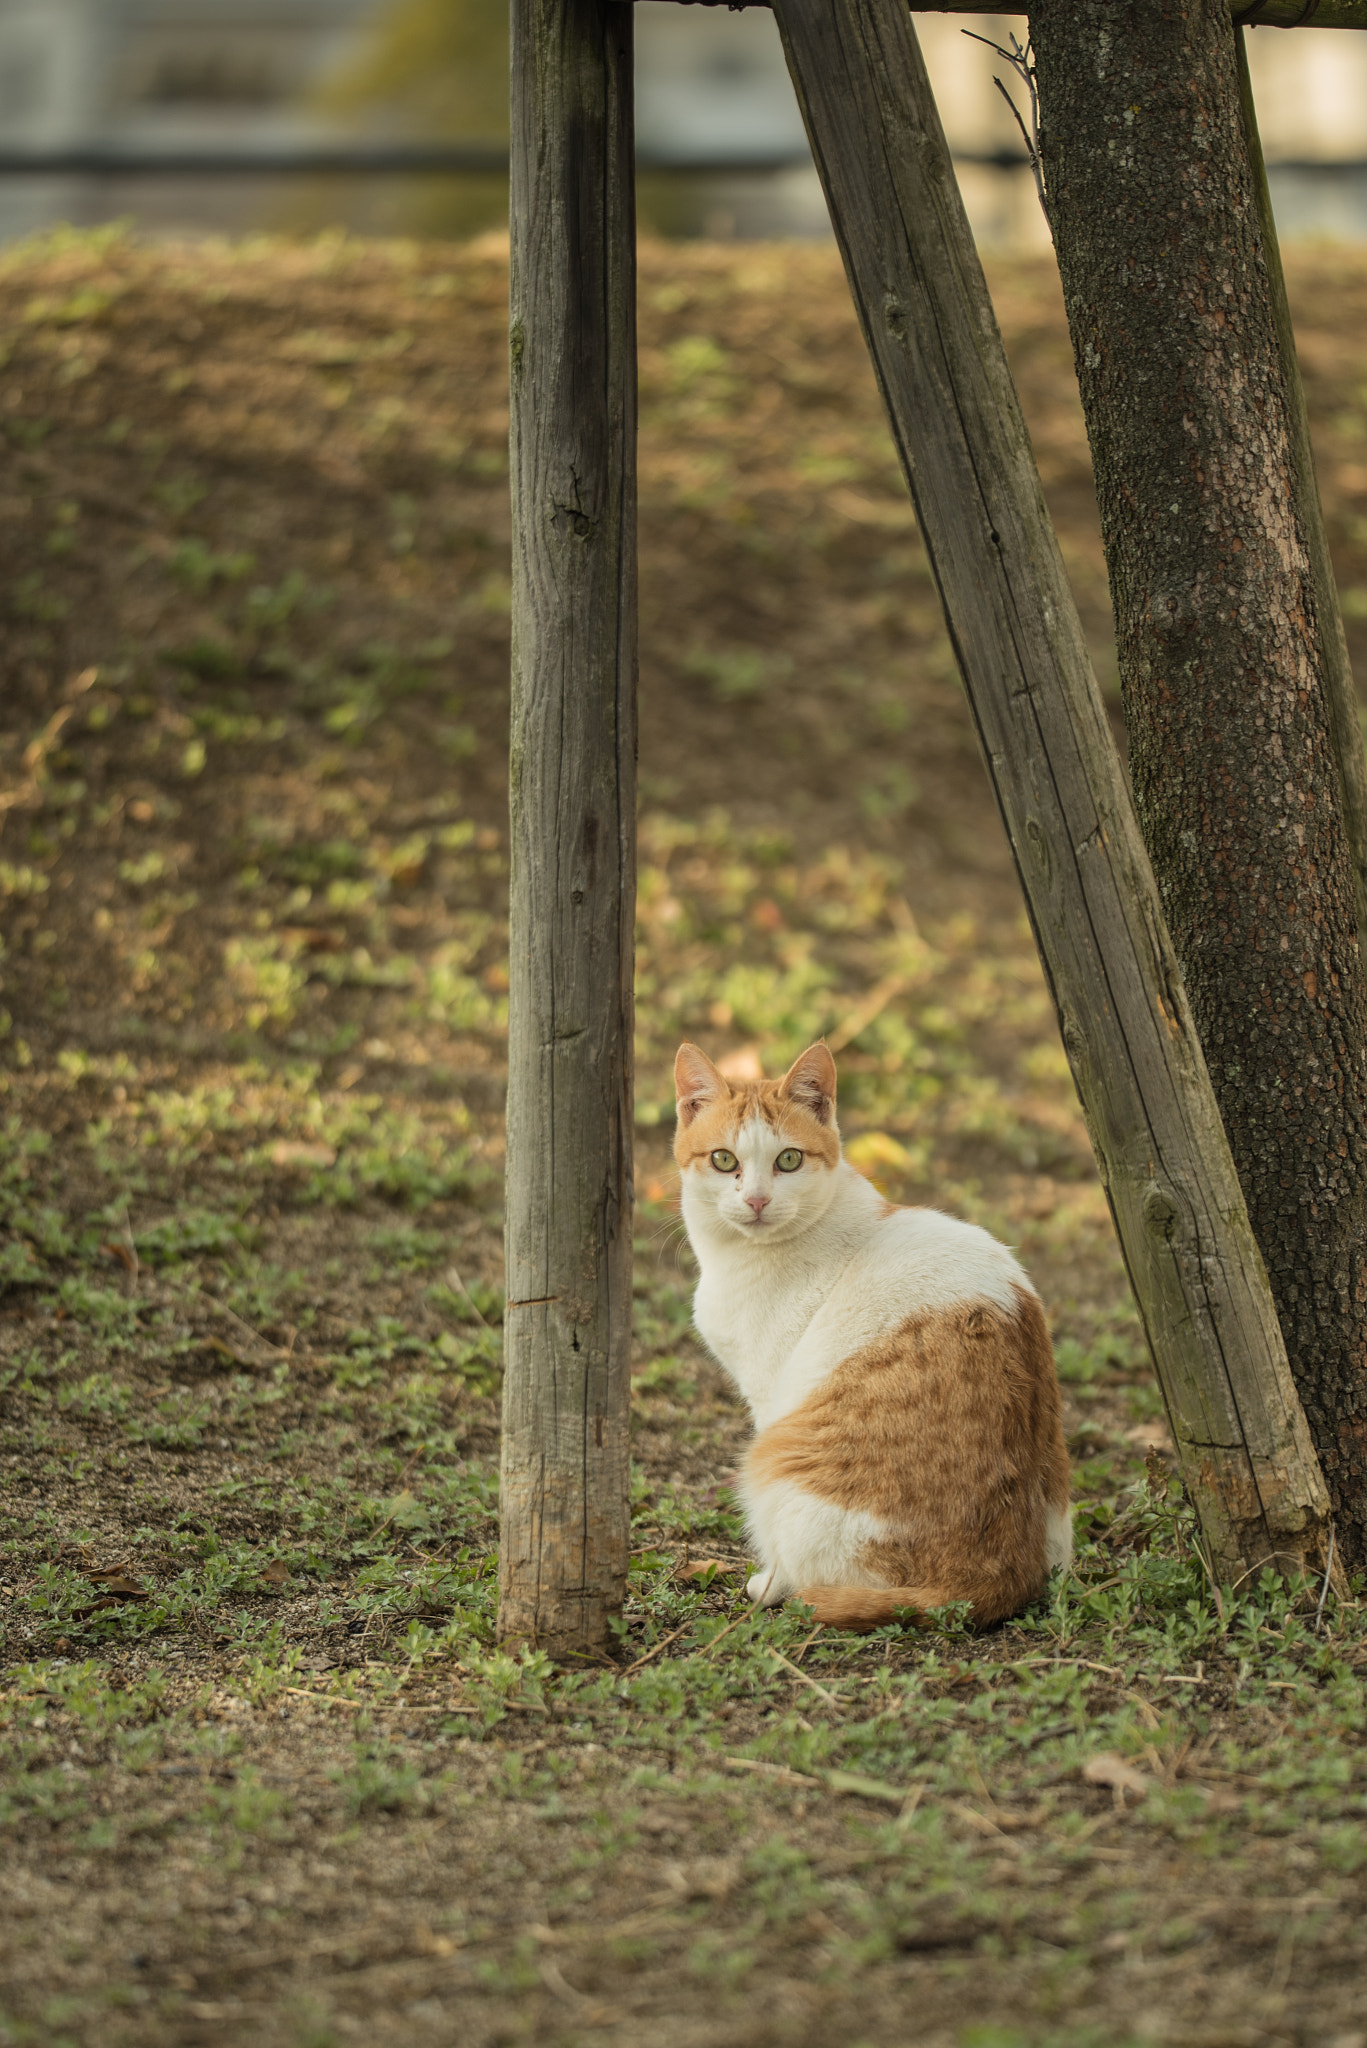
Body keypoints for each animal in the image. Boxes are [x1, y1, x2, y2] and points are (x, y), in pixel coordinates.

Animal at [680, 1040, 1073, 1630]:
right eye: (724, 1160)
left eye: (788, 1159)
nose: (756, 1201)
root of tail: (1000, 1575)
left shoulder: (769, 1397)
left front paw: (767, 1581)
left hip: (775, 1468)